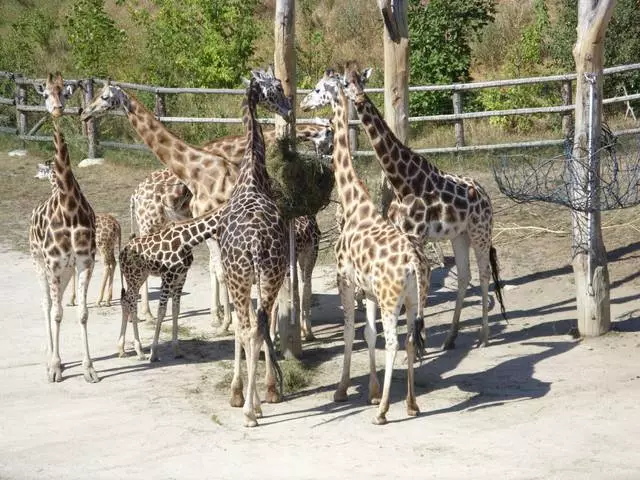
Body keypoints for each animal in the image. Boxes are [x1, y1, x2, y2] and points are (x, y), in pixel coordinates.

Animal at [29, 125, 99, 384]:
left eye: (42, 169)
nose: (36, 175)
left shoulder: (84, 263)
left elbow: (82, 312)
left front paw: (89, 368)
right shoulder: (54, 264)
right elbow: (57, 313)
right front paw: (55, 368)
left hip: (65, 272)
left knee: (54, 303)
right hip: (40, 263)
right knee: (47, 304)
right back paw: (50, 359)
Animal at [117, 208, 222, 362]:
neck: (187, 240)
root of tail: (121, 254)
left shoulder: (181, 277)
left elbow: (175, 310)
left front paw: (177, 350)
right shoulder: (167, 276)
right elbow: (161, 311)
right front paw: (154, 353)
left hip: (140, 277)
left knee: (126, 301)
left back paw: (122, 349)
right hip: (134, 277)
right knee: (131, 303)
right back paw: (139, 351)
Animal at [300, 70, 430, 424]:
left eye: (318, 88)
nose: (303, 103)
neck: (354, 202)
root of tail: (415, 263)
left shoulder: (346, 281)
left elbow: (350, 332)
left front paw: (343, 389)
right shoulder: (368, 290)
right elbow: (368, 333)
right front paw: (371, 392)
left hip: (391, 298)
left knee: (395, 342)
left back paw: (384, 411)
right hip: (414, 298)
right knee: (410, 339)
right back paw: (411, 404)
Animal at [342, 64, 508, 348]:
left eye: (361, 81)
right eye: (345, 83)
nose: (360, 98)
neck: (403, 182)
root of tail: (485, 193)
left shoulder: (416, 235)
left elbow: (421, 279)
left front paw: (416, 335)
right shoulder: (403, 233)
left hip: (481, 231)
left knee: (485, 273)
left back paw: (483, 337)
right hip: (460, 235)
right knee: (465, 276)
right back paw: (450, 337)